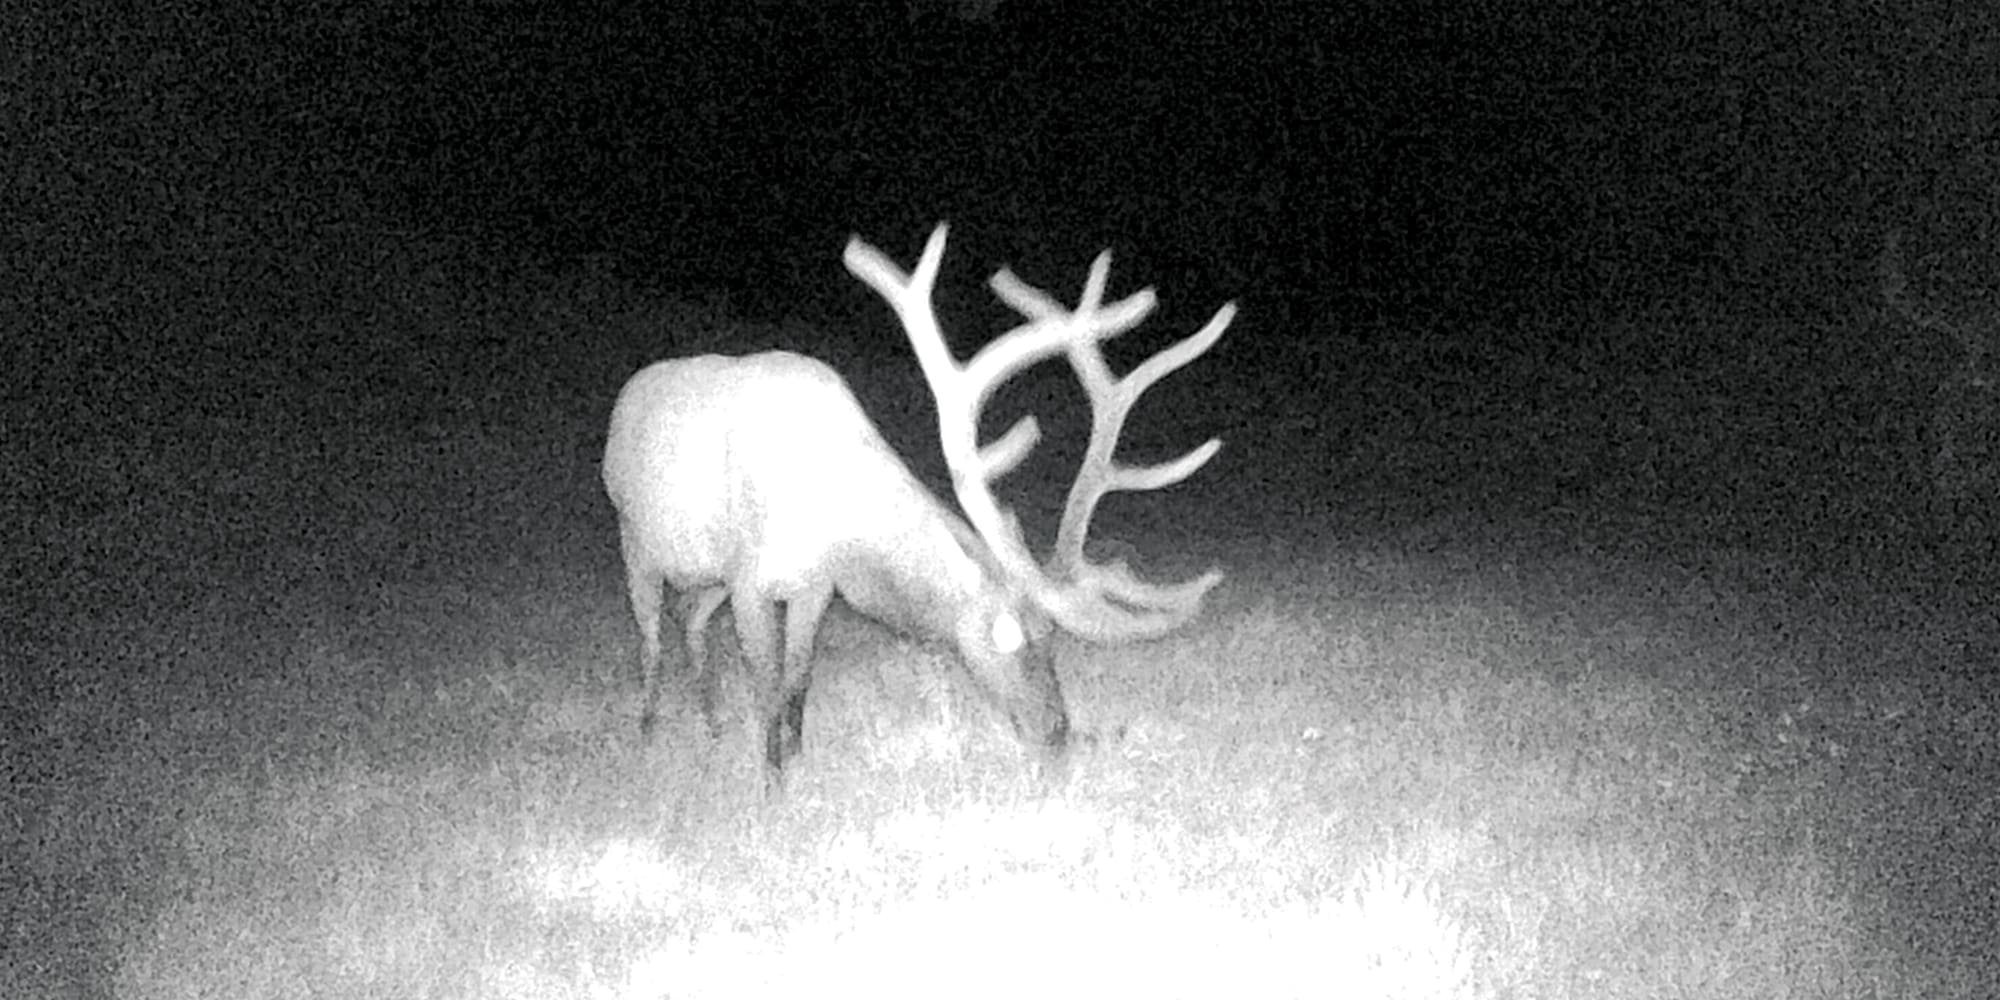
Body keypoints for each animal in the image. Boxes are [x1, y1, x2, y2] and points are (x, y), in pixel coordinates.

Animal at [601, 222, 1235, 790]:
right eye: (1017, 641)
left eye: (1053, 644)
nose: (1058, 735)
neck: (834, 519)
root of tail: (627, 394)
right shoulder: (749, 577)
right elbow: (767, 683)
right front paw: (771, 782)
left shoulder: (813, 586)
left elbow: (799, 677)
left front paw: (799, 760)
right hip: (636, 539)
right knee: (652, 637)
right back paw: (649, 729)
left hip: (704, 571)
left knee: (689, 619)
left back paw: (709, 724)